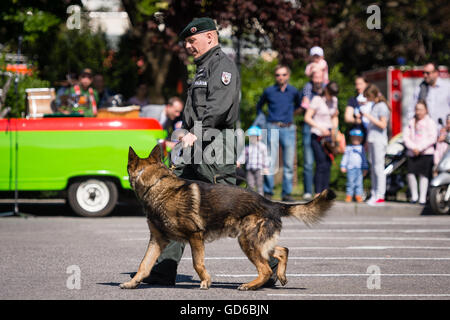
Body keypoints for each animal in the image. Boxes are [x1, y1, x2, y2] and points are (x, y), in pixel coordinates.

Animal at [119, 146, 334, 292]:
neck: (156, 185)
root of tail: (271, 203)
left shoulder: (195, 236)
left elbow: (198, 263)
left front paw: (206, 281)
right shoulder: (158, 240)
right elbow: (144, 264)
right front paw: (132, 283)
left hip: (247, 241)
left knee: (265, 268)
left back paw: (250, 285)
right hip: (258, 242)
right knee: (282, 250)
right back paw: (279, 275)